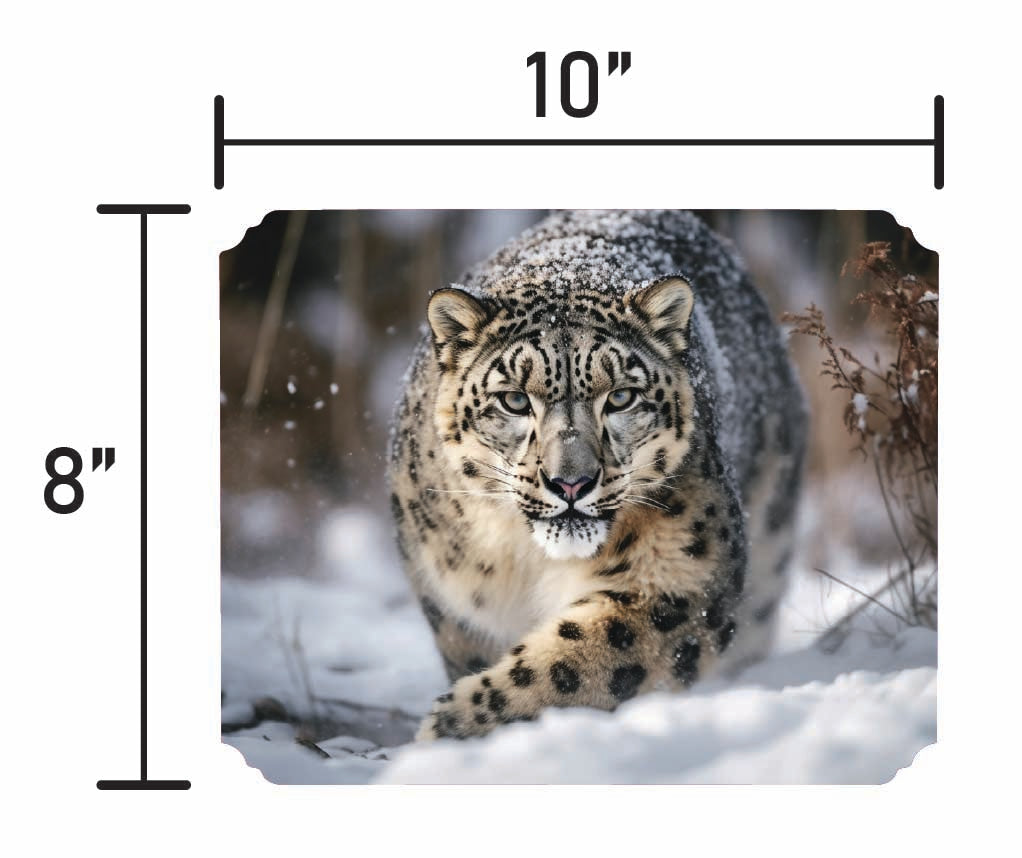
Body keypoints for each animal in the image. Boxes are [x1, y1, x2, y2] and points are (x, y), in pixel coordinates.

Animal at [387, 210, 807, 740]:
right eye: (515, 399)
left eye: (622, 396)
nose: (571, 482)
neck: (529, 563)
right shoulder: (453, 601)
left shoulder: (679, 577)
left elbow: (578, 664)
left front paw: (454, 725)